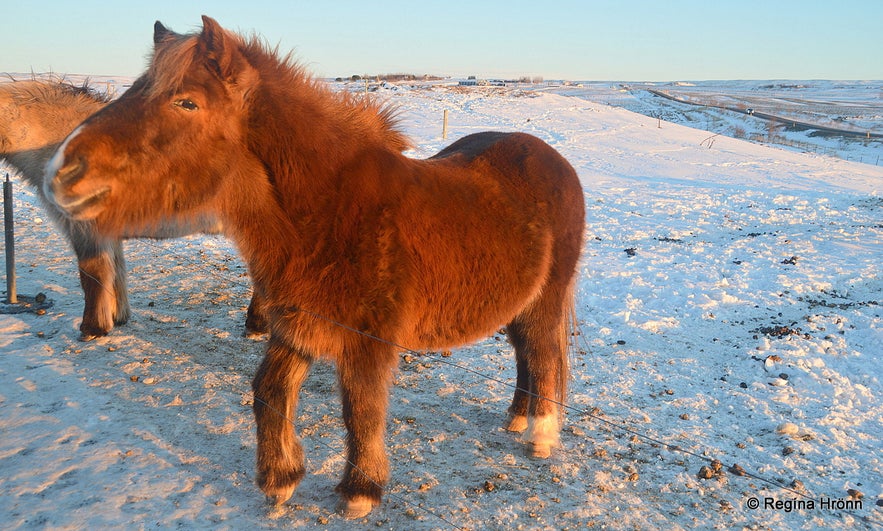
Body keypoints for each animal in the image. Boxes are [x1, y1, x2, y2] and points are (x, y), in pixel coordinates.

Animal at [46, 16, 588, 520]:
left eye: (187, 102)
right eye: (137, 88)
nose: (62, 171)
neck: (329, 212)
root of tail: (552, 160)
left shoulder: (367, 342)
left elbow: (361, 409)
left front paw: (360, 491)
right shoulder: (297, 324)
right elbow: (268, 389)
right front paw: (280, 481)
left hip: (547, 297)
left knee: (544, 353)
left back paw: (540, 436)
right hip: (517, 303)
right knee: (525, 352)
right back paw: (517, 419)